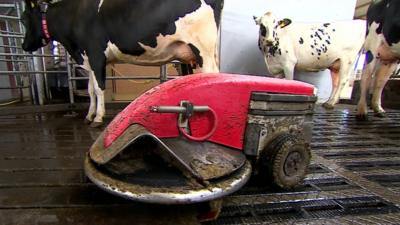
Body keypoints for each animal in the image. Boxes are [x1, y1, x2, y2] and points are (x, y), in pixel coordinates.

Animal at [21, 0, 223, 126]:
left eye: (23, 19)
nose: (23, 46)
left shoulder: (96, 54)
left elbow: (99, 89)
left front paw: (98, 118)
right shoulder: (88, 59)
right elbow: (90, 89)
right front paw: (89, 115)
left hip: (203, 48)